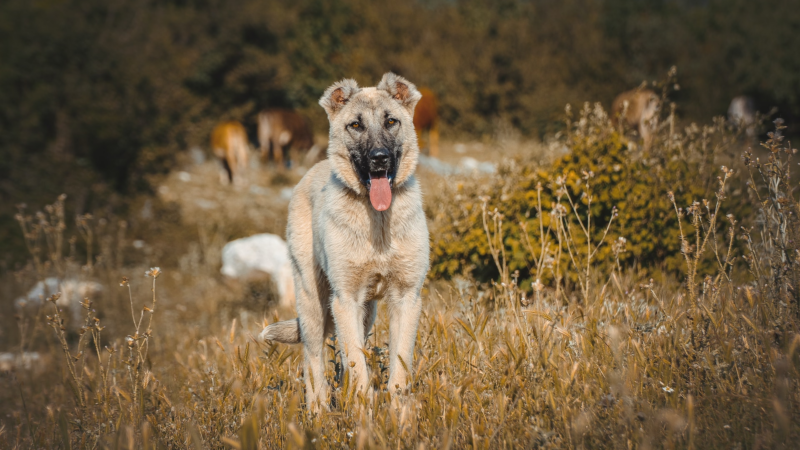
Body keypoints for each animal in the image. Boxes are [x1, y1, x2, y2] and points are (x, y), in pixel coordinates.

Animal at [260, 71, 428, 412]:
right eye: (356, 125)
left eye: (391, 121)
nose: (380, 159)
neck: (378, 222)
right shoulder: (345, 298)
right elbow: (358, 368)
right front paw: (364, 415)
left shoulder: (406, 297)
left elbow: (399, 370)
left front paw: (400, 417)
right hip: (313, 301)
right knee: (314, 361)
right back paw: (319, 413)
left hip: (366, 313)